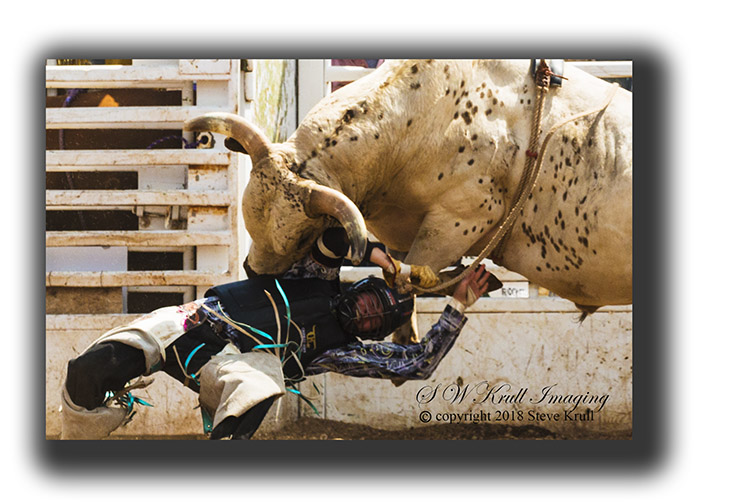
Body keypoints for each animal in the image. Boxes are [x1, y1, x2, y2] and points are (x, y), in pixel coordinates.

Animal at [184, 59, 632, 344]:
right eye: (249, 219)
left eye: (299, 239)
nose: (253, 274)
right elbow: (393, 272)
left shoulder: (460, 221)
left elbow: (409, 277)